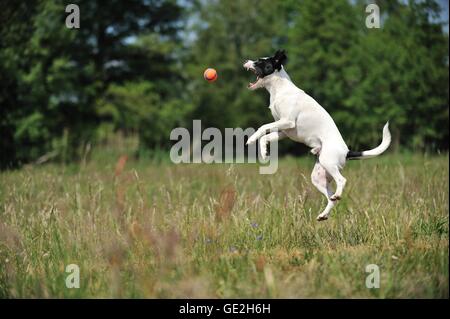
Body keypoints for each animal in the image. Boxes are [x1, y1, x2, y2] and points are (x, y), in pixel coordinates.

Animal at [243, 50, 390, 221]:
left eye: (260, 61)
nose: (246, 60)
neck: (280, 89)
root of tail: (346, 151)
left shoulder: (287, 122)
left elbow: (262, 128)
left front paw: (251, 139)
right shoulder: (284, 131)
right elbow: (265, 136)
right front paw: (264, 152)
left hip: (328, 162)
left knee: (342, 181)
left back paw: (337, 195)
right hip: (318, 177)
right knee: (331, 198)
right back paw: (323, 214)